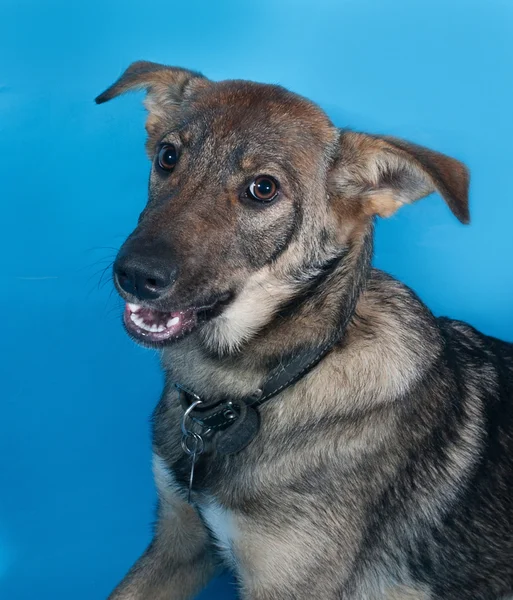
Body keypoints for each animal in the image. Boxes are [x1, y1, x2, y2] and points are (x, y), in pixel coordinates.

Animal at [96, 62, 512, 600]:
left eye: (263, 189)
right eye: (168, 157)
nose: (135, 275)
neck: (246, 392)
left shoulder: (288, 585)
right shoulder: (178, 541)